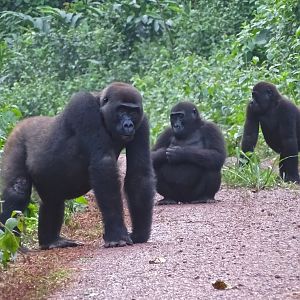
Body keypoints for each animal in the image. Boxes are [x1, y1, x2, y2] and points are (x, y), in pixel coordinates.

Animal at [0, 81, 155, 248]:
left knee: (52, 198)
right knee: (18, 188)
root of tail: (21, 123)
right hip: (15, 139)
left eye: (133, 112)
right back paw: (10, 241)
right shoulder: (83, 105)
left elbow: (139, 173)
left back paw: (51, 241)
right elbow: (104, 164)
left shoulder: (142, 122)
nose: (128, 125)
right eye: (121, 110)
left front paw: (139, 234)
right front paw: (117, 234)